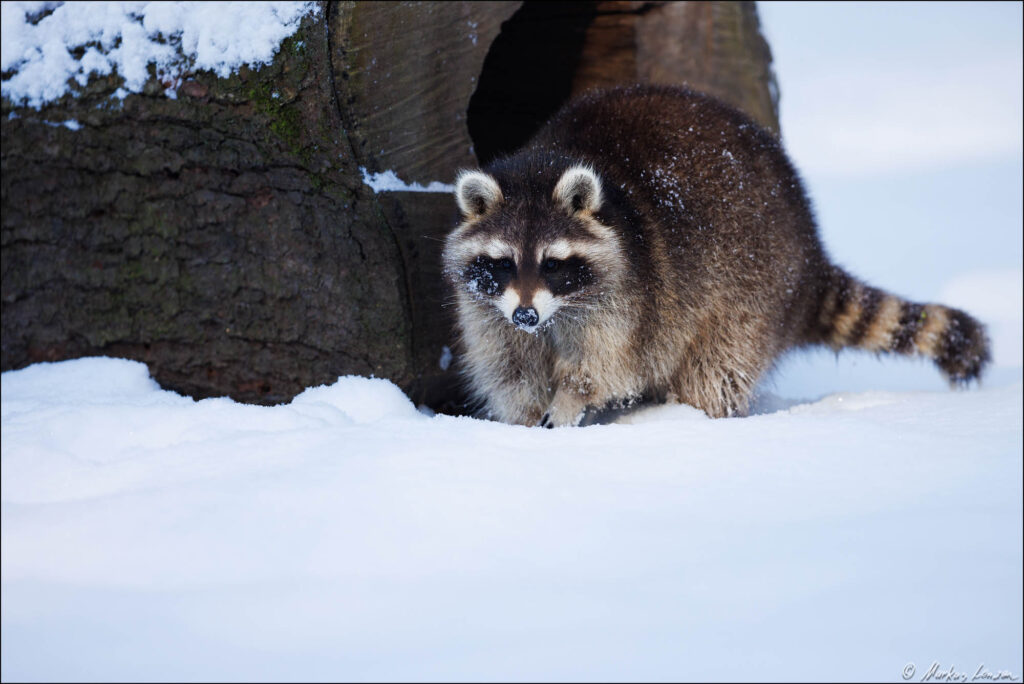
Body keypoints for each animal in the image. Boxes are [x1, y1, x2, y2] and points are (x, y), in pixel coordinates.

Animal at [442, 85, 991, 428]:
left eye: (554, 263)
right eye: (503, 262)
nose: (526, 315)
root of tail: (811, 252)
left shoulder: (632, 298)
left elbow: (609, 366)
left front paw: (571, 397)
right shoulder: (490, 311)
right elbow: (509, 367)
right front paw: (520, 424)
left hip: (754, 287)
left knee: (717, 367)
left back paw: (694, 418)